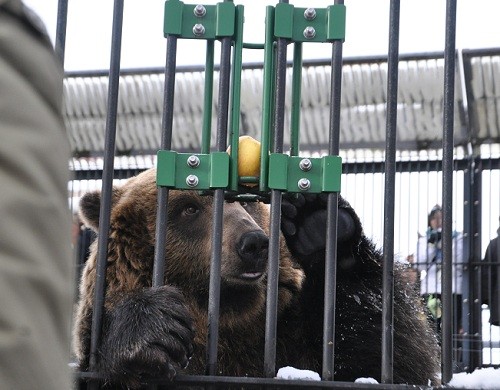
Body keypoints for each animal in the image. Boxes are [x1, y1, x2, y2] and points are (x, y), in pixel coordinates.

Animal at [73, 169, 438, 388]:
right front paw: (156, 331)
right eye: (189, 208)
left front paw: (319, 222)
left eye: (247, 203)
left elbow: (387, 363)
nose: (254, 243)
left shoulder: (288, 333)